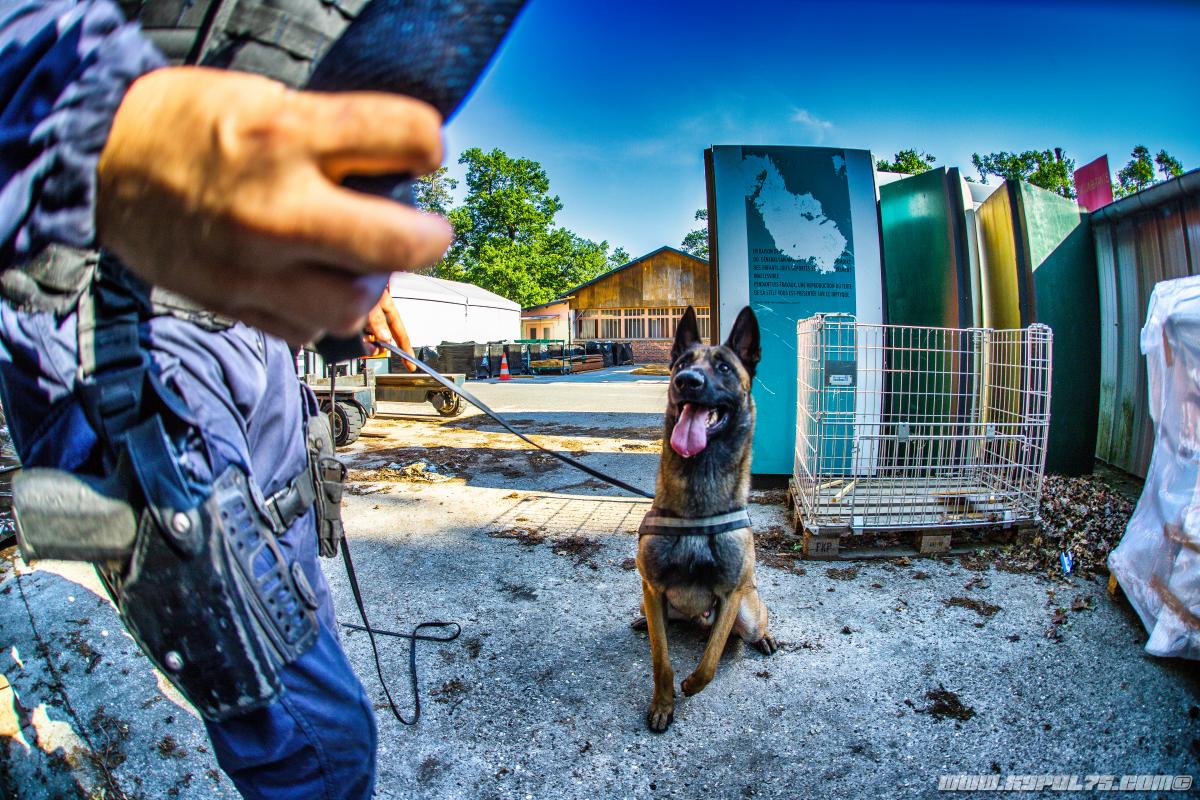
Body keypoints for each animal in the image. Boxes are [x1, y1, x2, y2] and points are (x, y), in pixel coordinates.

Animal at [634, 305, 776, 733]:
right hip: (657, 607)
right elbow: (661, 660)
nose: (687, 381)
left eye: (724, 368)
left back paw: (764, 638)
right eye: (681, 364)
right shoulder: (654, 589)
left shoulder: (730, 595)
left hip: (748, 610)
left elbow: (710, 661)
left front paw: (691, 685)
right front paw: (663, 703)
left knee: (749, 627)